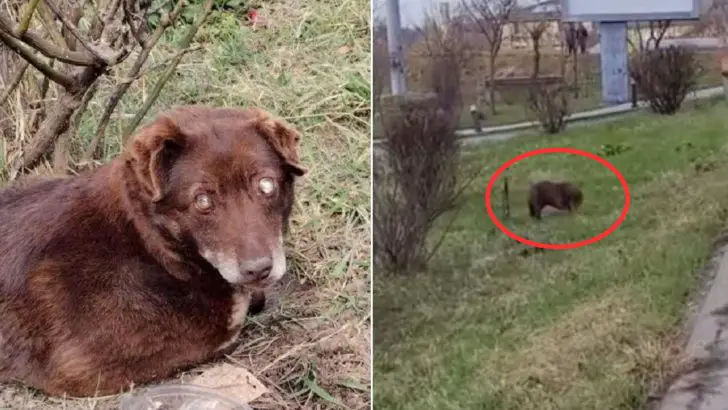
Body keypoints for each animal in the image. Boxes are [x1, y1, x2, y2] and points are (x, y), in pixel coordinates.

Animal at [0, 105, 308, 398]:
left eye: (266, 185)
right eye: (203, 201)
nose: (259, 269)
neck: (149, 242)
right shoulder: (83, 365)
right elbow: (227, 331)